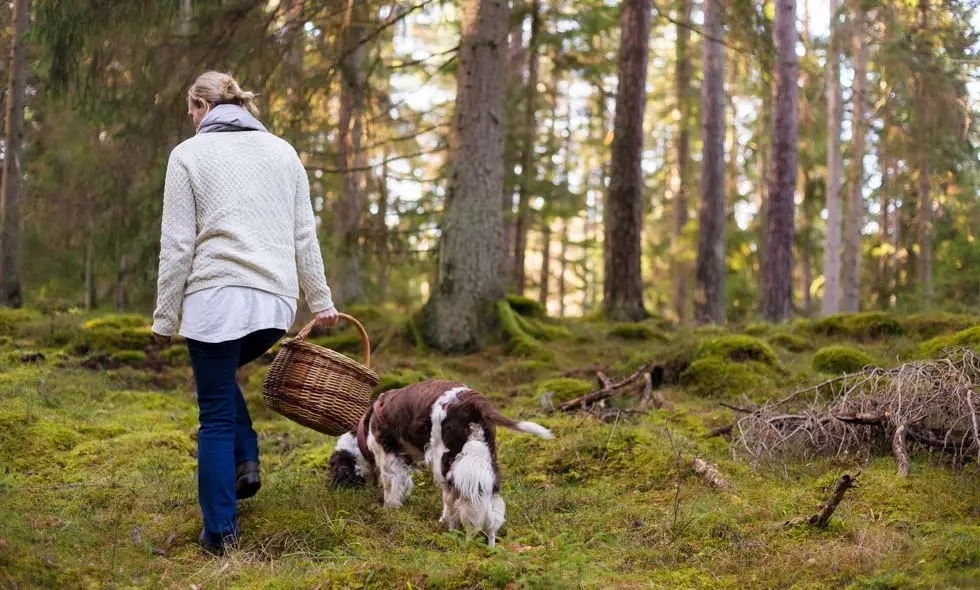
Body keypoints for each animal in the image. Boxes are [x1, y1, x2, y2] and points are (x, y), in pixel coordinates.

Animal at [330, 382, 556, 548]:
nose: (333, 487)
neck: (364, 431)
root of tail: (473, 399)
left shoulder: (388, 456)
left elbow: (391, 489)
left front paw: (388, 513)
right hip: (483, 458)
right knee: (490, 505)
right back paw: (490, 544)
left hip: (444, 460)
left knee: (454, 500)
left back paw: (452, 528)